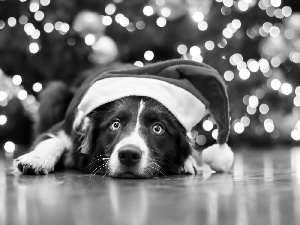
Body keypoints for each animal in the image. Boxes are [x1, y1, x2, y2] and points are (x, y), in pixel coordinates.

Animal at [15, 64, 200, 178]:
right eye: (115, 124)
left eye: (157, 128)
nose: (129, 154)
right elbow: (51, 140)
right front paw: (36, 159)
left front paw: (188, 162)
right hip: (54, 95)